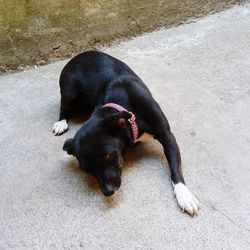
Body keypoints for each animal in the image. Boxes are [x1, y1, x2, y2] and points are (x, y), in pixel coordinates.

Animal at [52, 50, 199, 215]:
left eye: (107, 156)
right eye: (85, 169)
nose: (108, 192)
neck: (126, 109)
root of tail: (76, 57)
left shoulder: (167, 136)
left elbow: (175, 167)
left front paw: (184, 194)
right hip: (69, 92)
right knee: (63, 109)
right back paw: (61, 123)